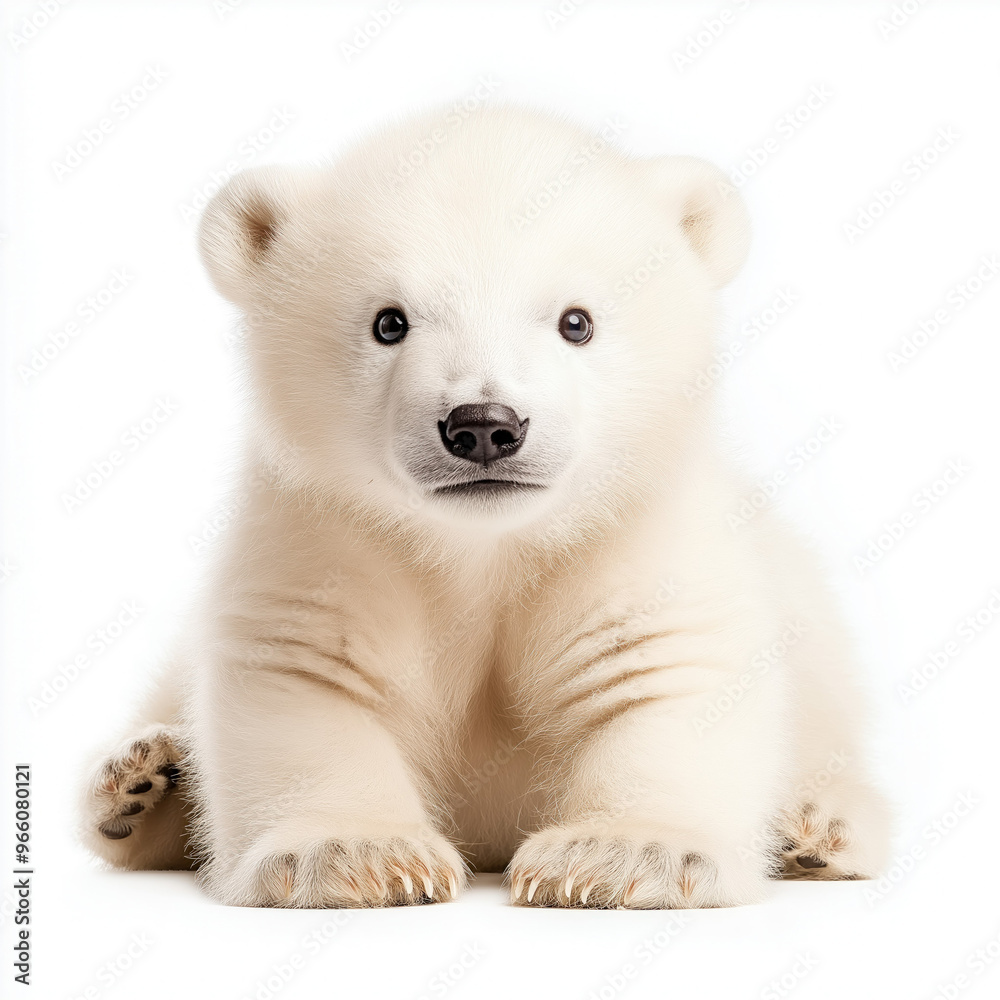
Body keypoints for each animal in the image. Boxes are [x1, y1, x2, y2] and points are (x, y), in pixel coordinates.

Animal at [79, 104, 890, 909]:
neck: (484, 548)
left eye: (576, 321)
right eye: (389, 321)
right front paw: (354, 854)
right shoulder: (326, 532)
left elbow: (663, 668)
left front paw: (623, 855)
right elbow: (308, 670)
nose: (483, 425)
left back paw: (816, 830)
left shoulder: (636, 532)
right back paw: (143, 783)